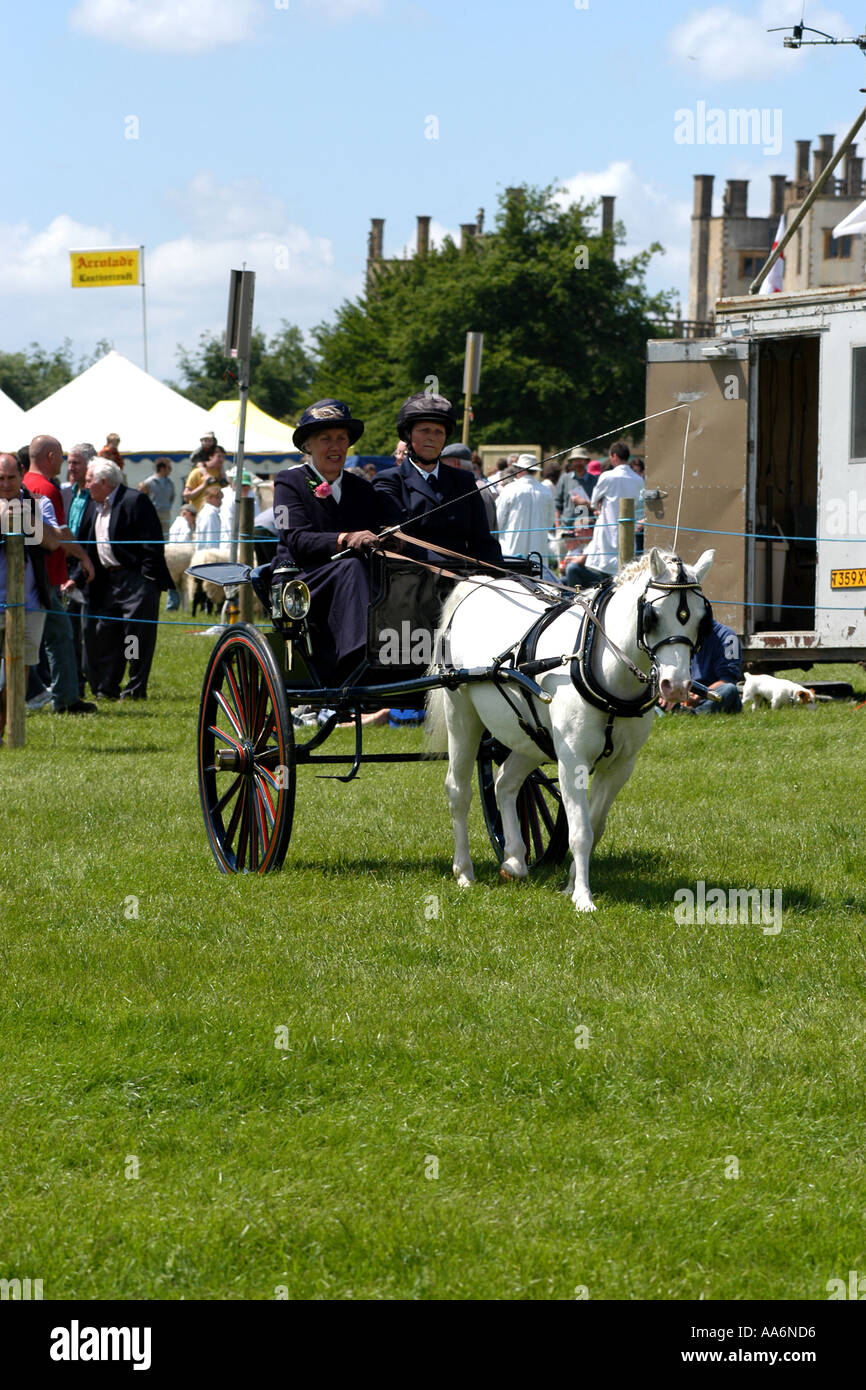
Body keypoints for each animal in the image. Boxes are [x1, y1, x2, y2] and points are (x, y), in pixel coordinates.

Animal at [428, 547, 717, 917]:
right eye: (652, 615)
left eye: (701, 620)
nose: (676, 686)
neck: (597, 660)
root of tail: (478, 584)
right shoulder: (572, 760)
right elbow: (579, 831)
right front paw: (583, 896)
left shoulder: (620, 766)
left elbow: (595, 826)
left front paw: (569, 883)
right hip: (462, 716)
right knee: (458, 791)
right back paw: (464, 871)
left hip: (531, 735)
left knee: (505, 782)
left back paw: (514, 860)